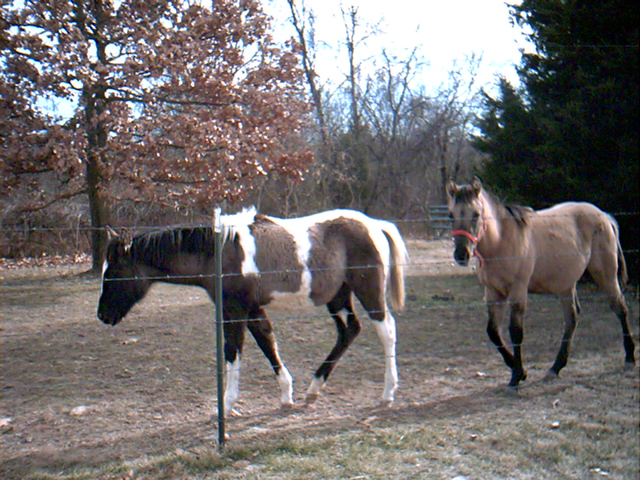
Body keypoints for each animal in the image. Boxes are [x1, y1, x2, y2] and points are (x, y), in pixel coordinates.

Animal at [97, 207, 408, 415]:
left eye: (113, 273)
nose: (103, 316)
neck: (219, 252)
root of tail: (375, 224)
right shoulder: (252, 309)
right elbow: (267, 342)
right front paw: (286, 395)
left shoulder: (234, 309)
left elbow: (233, 350)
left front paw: (226, 404)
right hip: (338, 296)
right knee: (349, 331)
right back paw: (313, 389)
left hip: (368, 292)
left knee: (387, 331)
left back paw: (387, 393)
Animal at [446, 177, 636, 388]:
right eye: (451, 215)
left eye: (476, 215)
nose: (461, 254)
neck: (501, 242)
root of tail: (604, 216)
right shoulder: (494, 292)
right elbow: (493, 332)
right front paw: (519, 370)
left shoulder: (518, 291)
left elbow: (516, 332)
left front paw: (516, 376)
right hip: (566, 283)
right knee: (572, 318)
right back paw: (555, 368)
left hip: (606, 275)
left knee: (620, 309)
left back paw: (629, 358)